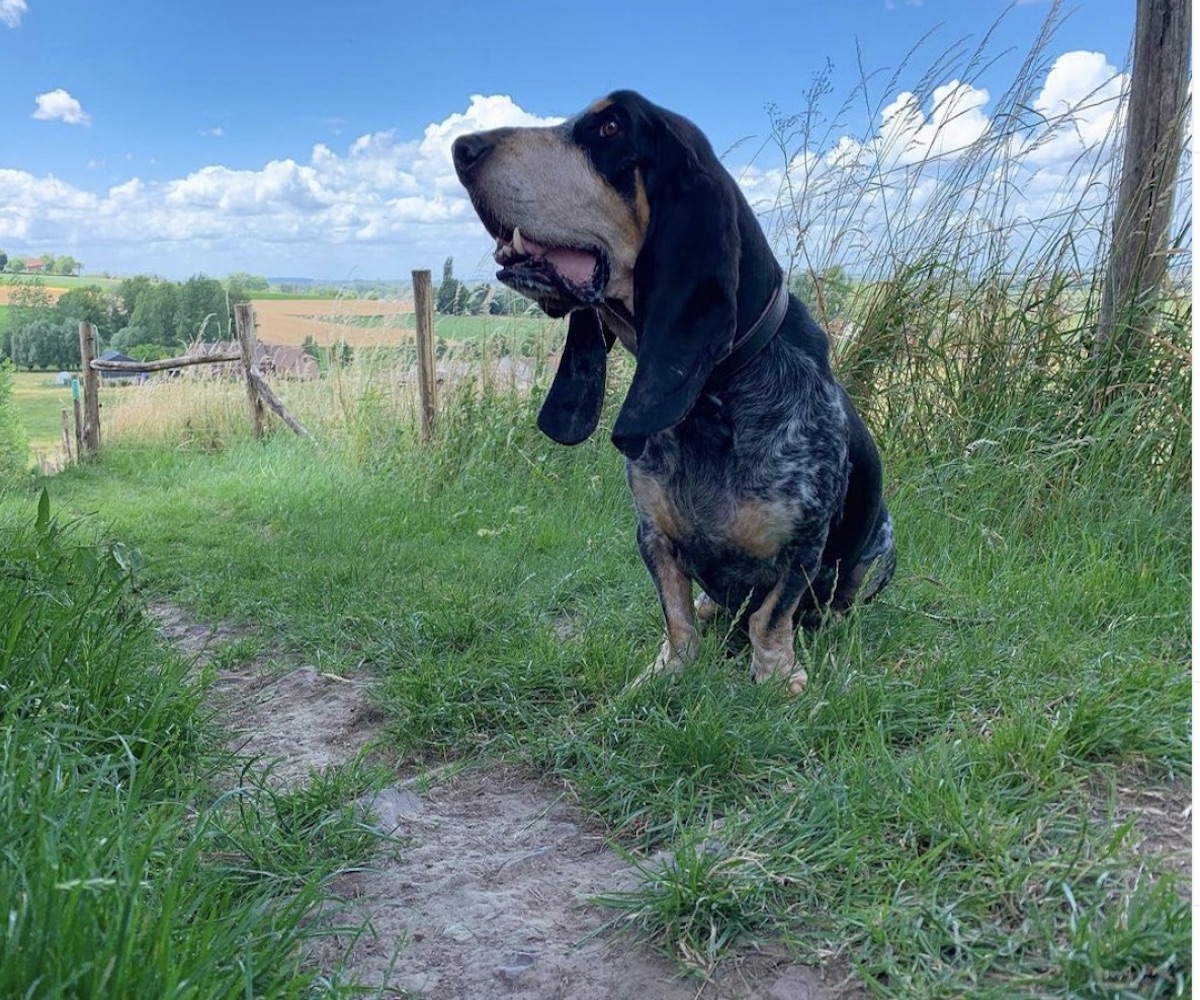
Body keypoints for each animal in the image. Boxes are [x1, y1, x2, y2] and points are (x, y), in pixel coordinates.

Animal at [453, 90, 897, 691]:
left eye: (610, 127)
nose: (460, 148)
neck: (715, 396)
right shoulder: (652, 535)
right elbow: (676, 612)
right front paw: (668, 670)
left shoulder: (805, 543)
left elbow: (769, 617)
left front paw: (776, 678)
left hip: (882, 547)